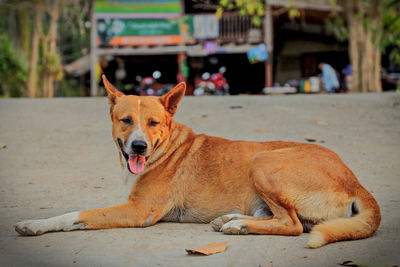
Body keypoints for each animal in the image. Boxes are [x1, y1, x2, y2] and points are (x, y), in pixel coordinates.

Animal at [14, 74, 382, 249]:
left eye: (153, 123)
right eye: (125, 121)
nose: (138, 147)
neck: (165, 148)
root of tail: (355, 181)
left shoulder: (138, 211)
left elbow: (75, 215)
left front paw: (34, 224)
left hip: (262, 160)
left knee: (292, 224)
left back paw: (239, 225)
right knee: (283, 218)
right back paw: (232, 218)